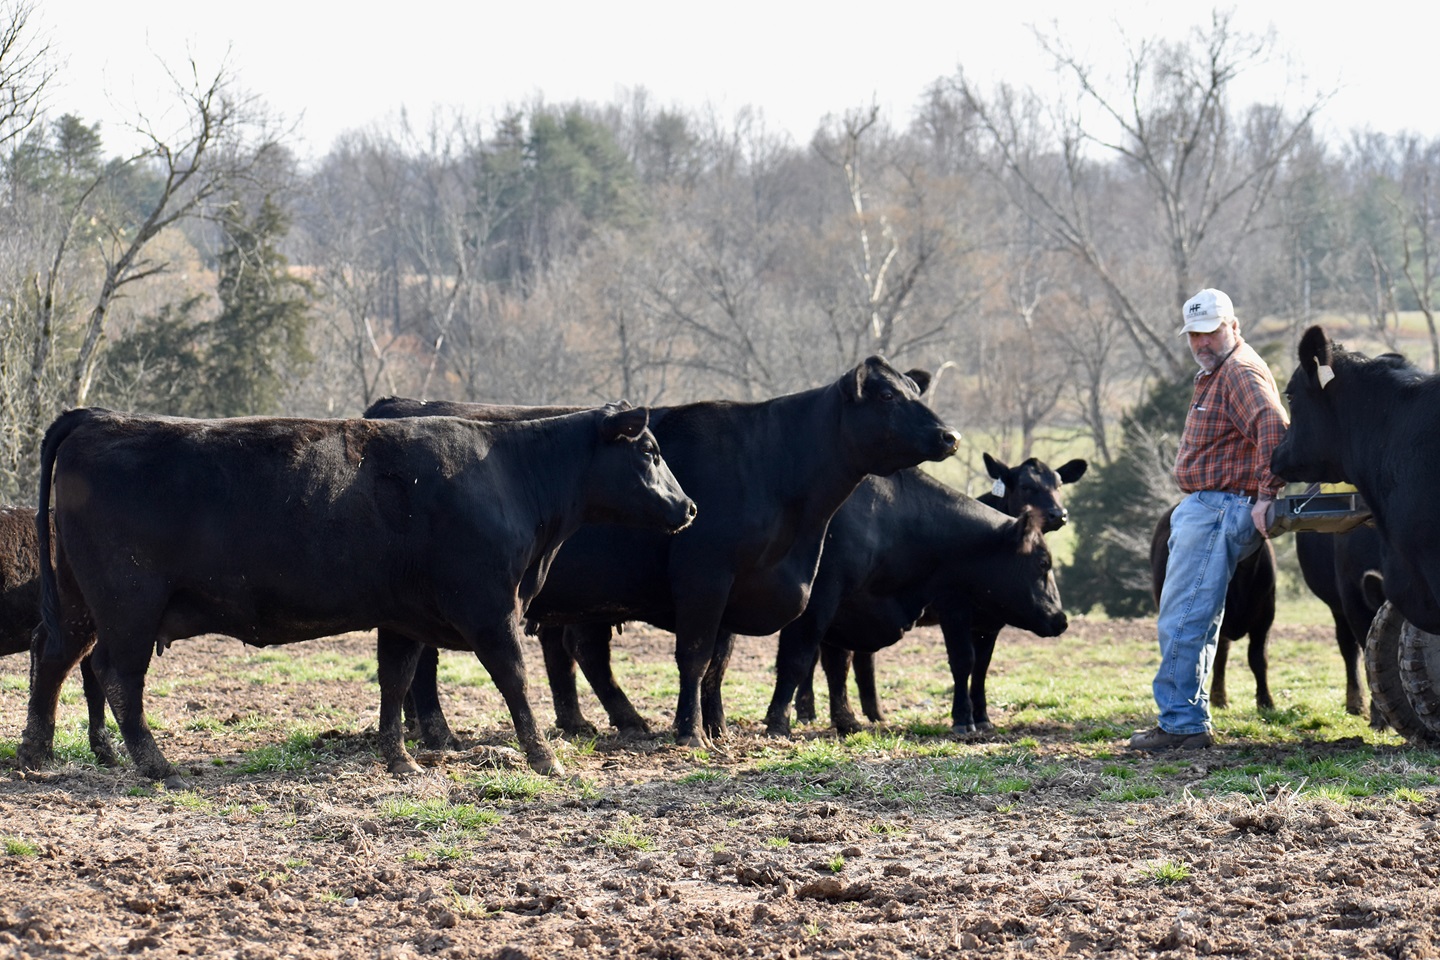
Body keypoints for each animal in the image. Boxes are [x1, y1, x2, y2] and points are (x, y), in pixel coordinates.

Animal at [17, 405, 695, 787]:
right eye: (651, 452)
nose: (688, 508)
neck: (511, 476)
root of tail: (98, 417)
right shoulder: (489, 610)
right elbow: (514, 680)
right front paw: (543, 757)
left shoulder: (403, 617)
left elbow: (395, 681)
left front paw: (400, 760)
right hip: (129, 604)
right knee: (115, 675)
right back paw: (154, 763)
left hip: (82, 604)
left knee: (53, 657)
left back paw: (36, 754)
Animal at [366, 357, 961, 748]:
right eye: (887, 396)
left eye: (915, 389)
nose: (951, 436)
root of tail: (393, 404)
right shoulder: (704, 574)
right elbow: (694, 656)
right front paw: (691, 731)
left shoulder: (736, 588)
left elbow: (719, 662)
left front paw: (717, 727)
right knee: (427, 662)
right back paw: (438, 731)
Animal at [791, 452, 1087, 734]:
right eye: (1026, 486)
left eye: (1059, 484)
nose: (1058, 514)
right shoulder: (953, 610)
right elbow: (963, 661)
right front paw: (962, 718)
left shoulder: (990, 624)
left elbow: (981, 667)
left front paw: (982, 717)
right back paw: (806, 711)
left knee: (858, 658)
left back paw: (875, 713)